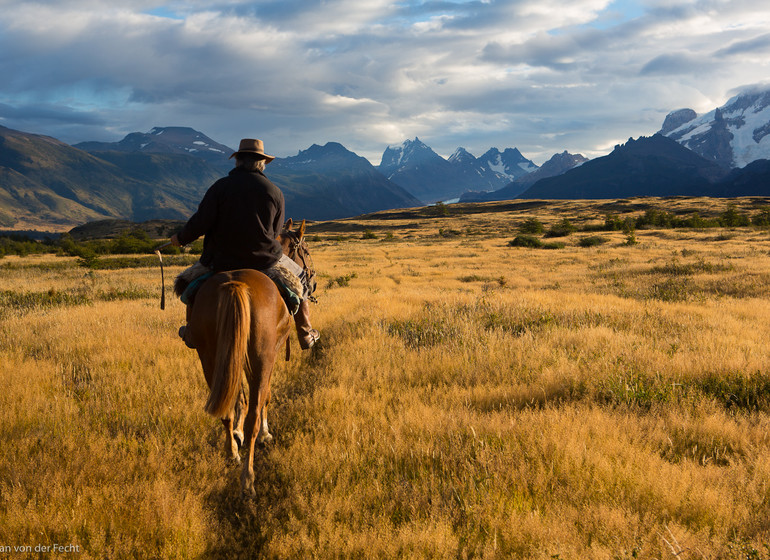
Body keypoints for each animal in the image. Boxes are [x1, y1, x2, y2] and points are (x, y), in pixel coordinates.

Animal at [184, 218, 314, 494]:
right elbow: (264, 397)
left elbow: (239, 397)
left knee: (224, 407)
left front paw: (237, 435)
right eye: (306, 250)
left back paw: (232, 452)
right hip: (260, 356)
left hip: (209, 355)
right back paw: (248, 478)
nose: (311, 276)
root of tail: (236, 284)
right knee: (254, 410)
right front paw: (265, 433)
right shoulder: (270, 355)